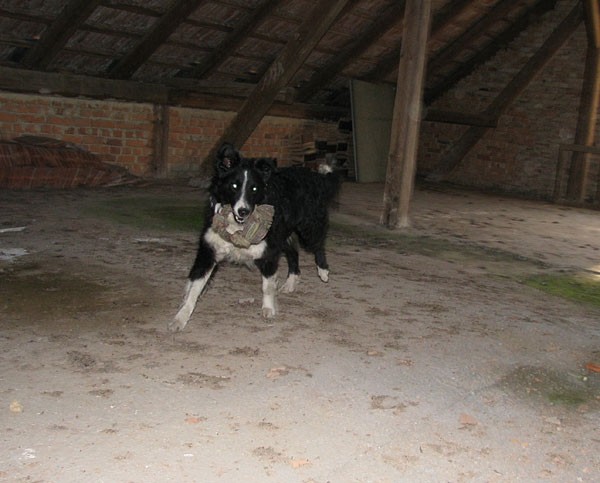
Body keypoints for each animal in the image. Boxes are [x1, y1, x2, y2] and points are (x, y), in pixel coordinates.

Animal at [169, 144, 342, 332]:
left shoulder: (269, 251)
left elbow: (267, 286)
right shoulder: (208, 251)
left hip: (308, 228)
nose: (243, 211)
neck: (238, 227)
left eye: (254, 189)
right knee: (293, 253)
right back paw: (291, 282)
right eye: (234, 186)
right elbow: (194, 288)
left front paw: (268, 308)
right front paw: (180, 318)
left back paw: (323, 271)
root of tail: (315, 176)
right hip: (283, 234)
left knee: (318, 244)